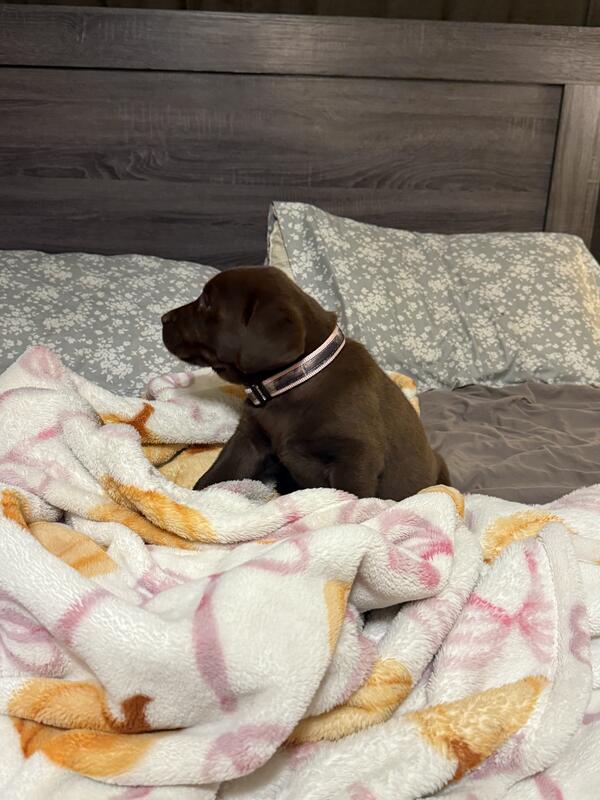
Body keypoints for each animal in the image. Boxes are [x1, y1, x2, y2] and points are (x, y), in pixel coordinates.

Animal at [162, 267, 449, 500]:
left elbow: (352, 500)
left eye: (206, 303)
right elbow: (216, 475)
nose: (163, 318)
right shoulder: (248, 440)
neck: (296, 380)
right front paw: (194, 501)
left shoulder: (356, 457)